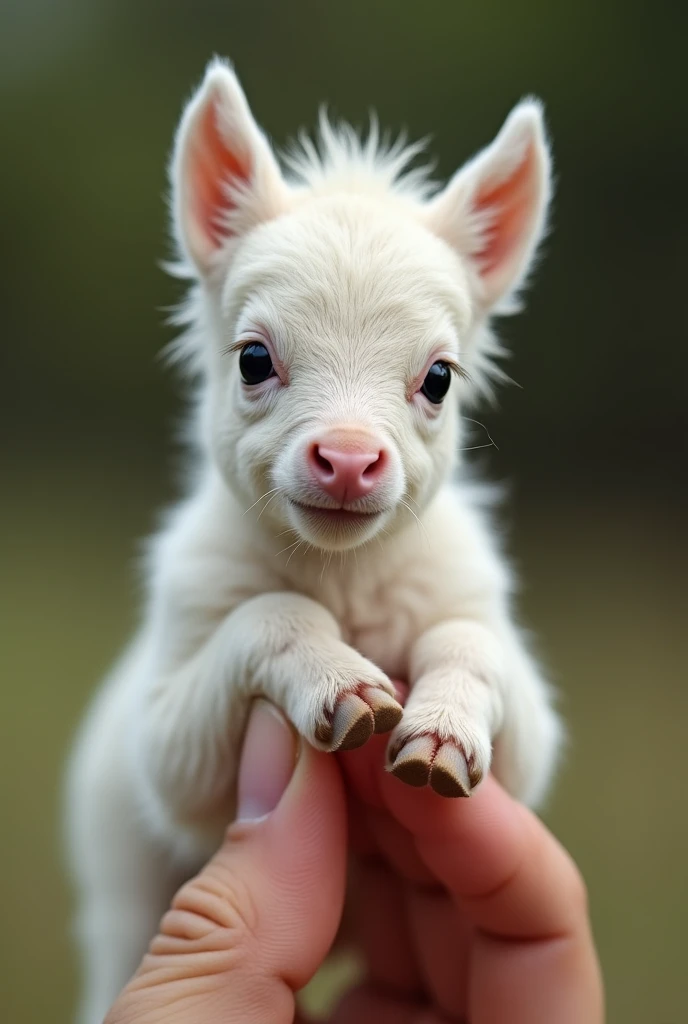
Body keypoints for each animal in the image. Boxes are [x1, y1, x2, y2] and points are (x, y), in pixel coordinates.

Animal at [67, 61, 565, 1024]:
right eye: (253, 359)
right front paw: (336, 679)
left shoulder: (524, 746)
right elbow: (266, 615)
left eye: (439, 378)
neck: (342, 575)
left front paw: (444, 729)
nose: (347, 459)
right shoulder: (168, 743)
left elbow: (472, 647)